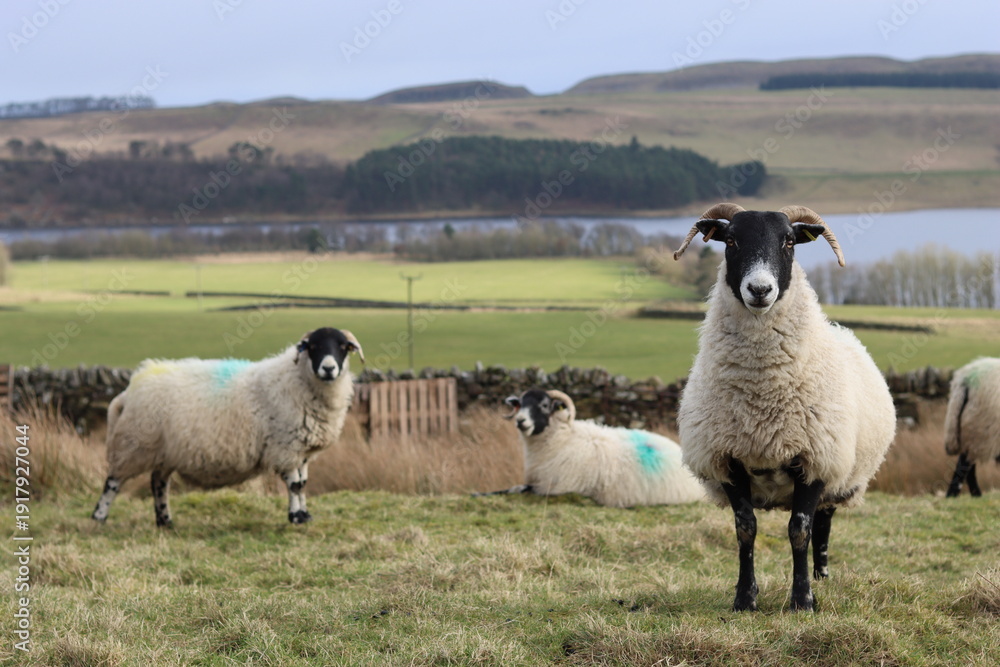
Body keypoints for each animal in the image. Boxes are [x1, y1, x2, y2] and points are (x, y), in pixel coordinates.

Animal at [91, 327, 364, 527]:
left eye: (343, 347)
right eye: (313, 347)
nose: (328, 368)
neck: (296, 380)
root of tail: (129, 390)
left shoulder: (302, 449)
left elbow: (303, 484)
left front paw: (305, 515)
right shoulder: (284, 447)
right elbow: (294, 485)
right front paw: (295, 517)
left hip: (164, 450)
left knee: (158, 482)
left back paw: (165, 520)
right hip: (133, 444)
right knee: (113, 481)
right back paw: (99, 517)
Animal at [477, 388, 705, 507]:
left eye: (543, 405)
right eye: (521, 404)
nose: (520, 421)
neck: (562, 439)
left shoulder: (555, 488)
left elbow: (515, 488)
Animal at [672, 203, 896, 612]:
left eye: (789, 241)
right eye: (730, 241)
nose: (760, 290)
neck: (762, 401)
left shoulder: (815, 460)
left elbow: (799, 531)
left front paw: (802, 599)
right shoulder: (729, 461)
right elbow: (745, 529)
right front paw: (745, 598)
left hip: (838, 470)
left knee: (822, 522)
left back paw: (822, 575)